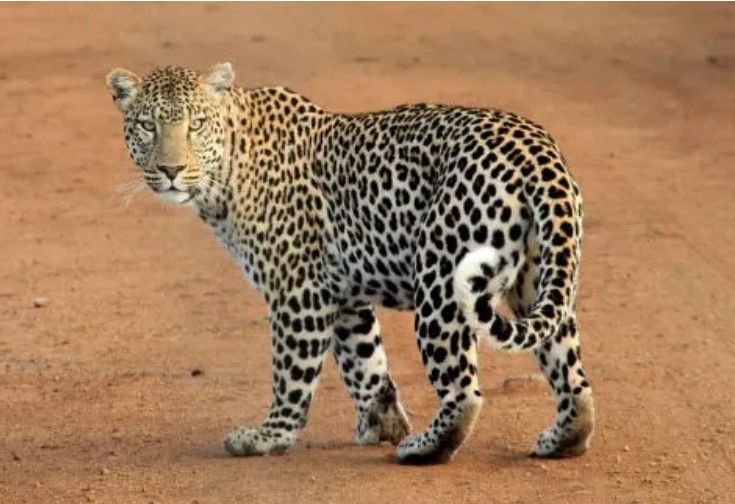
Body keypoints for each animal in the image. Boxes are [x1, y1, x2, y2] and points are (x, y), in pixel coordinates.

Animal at [105, 62, 595, 465]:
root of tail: (538, 152)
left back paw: (423, 448)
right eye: (147, 126)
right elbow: (365, 363)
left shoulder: (298, 291)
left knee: (463, 392)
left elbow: (292, 372)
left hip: (441, 283)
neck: (227, 171)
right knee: (572, 375)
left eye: (196, 125)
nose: (171, 170)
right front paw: (381, 423)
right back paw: (562, 439)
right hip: (540, 279)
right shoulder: (342, 295)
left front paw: (269, 437)